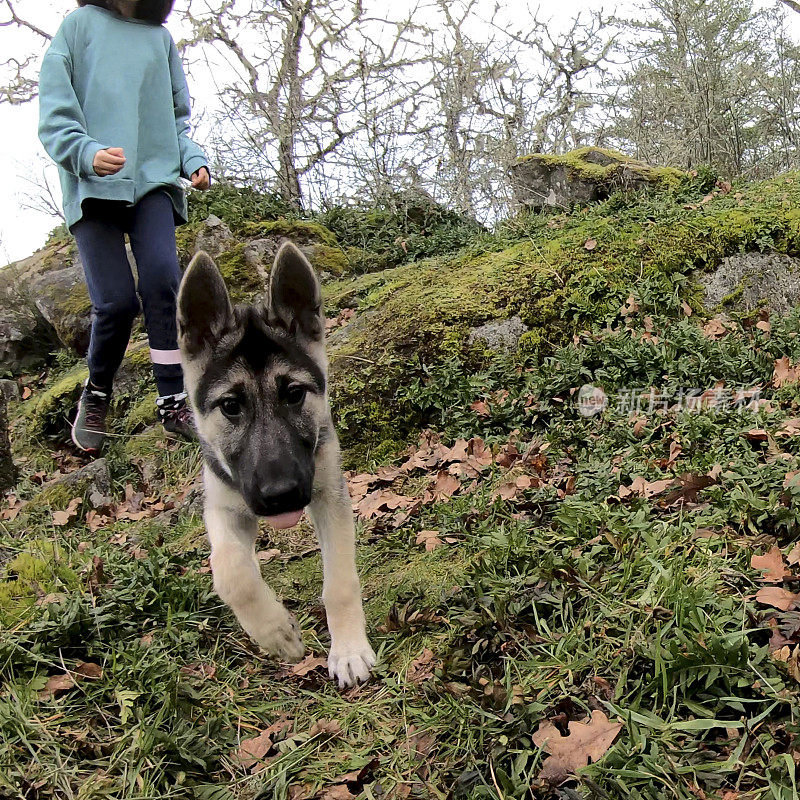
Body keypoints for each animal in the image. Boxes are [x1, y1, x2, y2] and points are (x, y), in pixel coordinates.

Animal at [177, 244, 376, 688]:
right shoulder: (223, 504)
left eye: (294, 394)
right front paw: (276, 631)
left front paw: (349, 650)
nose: (281, 495)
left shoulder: (328, 493)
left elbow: (340, 581)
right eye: (231, 406)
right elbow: (229, 570)